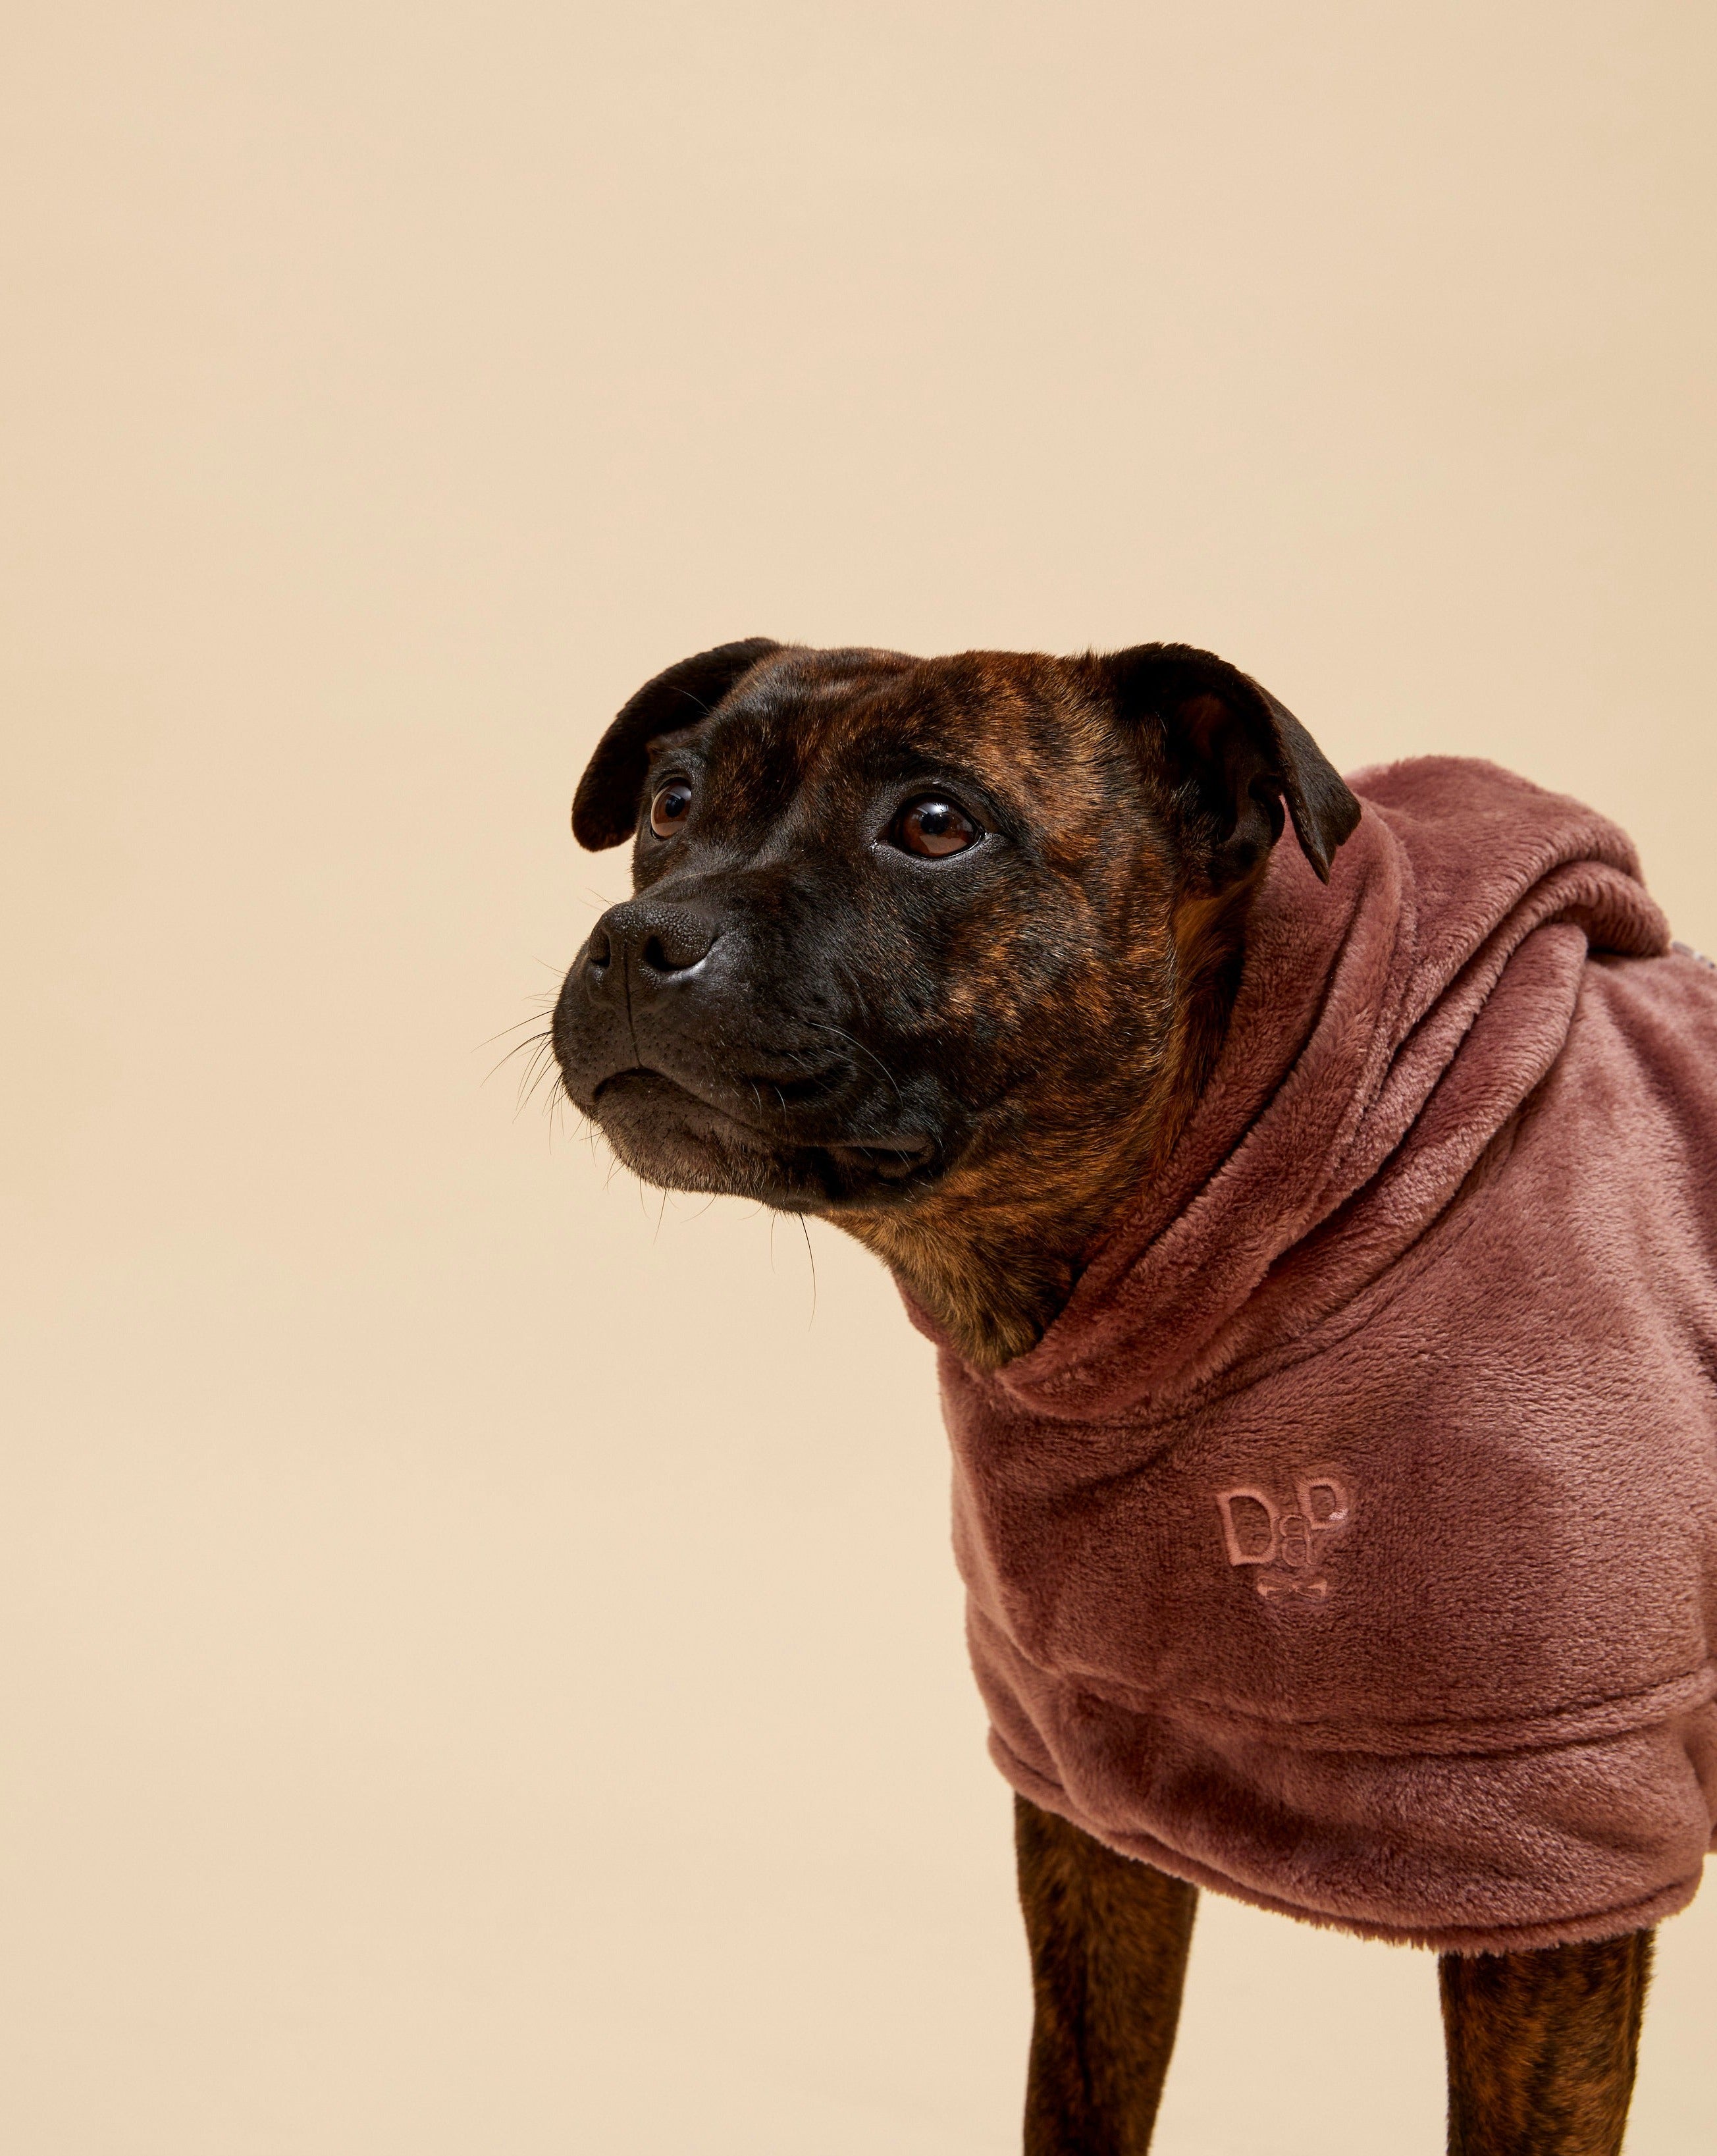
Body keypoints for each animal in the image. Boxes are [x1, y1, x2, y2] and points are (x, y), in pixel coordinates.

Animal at [549, 638, 1646, 2156]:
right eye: (669, 800)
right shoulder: (1090, 1799)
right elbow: (1077, 2091)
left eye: (934, 825)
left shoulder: (1558, 1849)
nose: (640, 939)